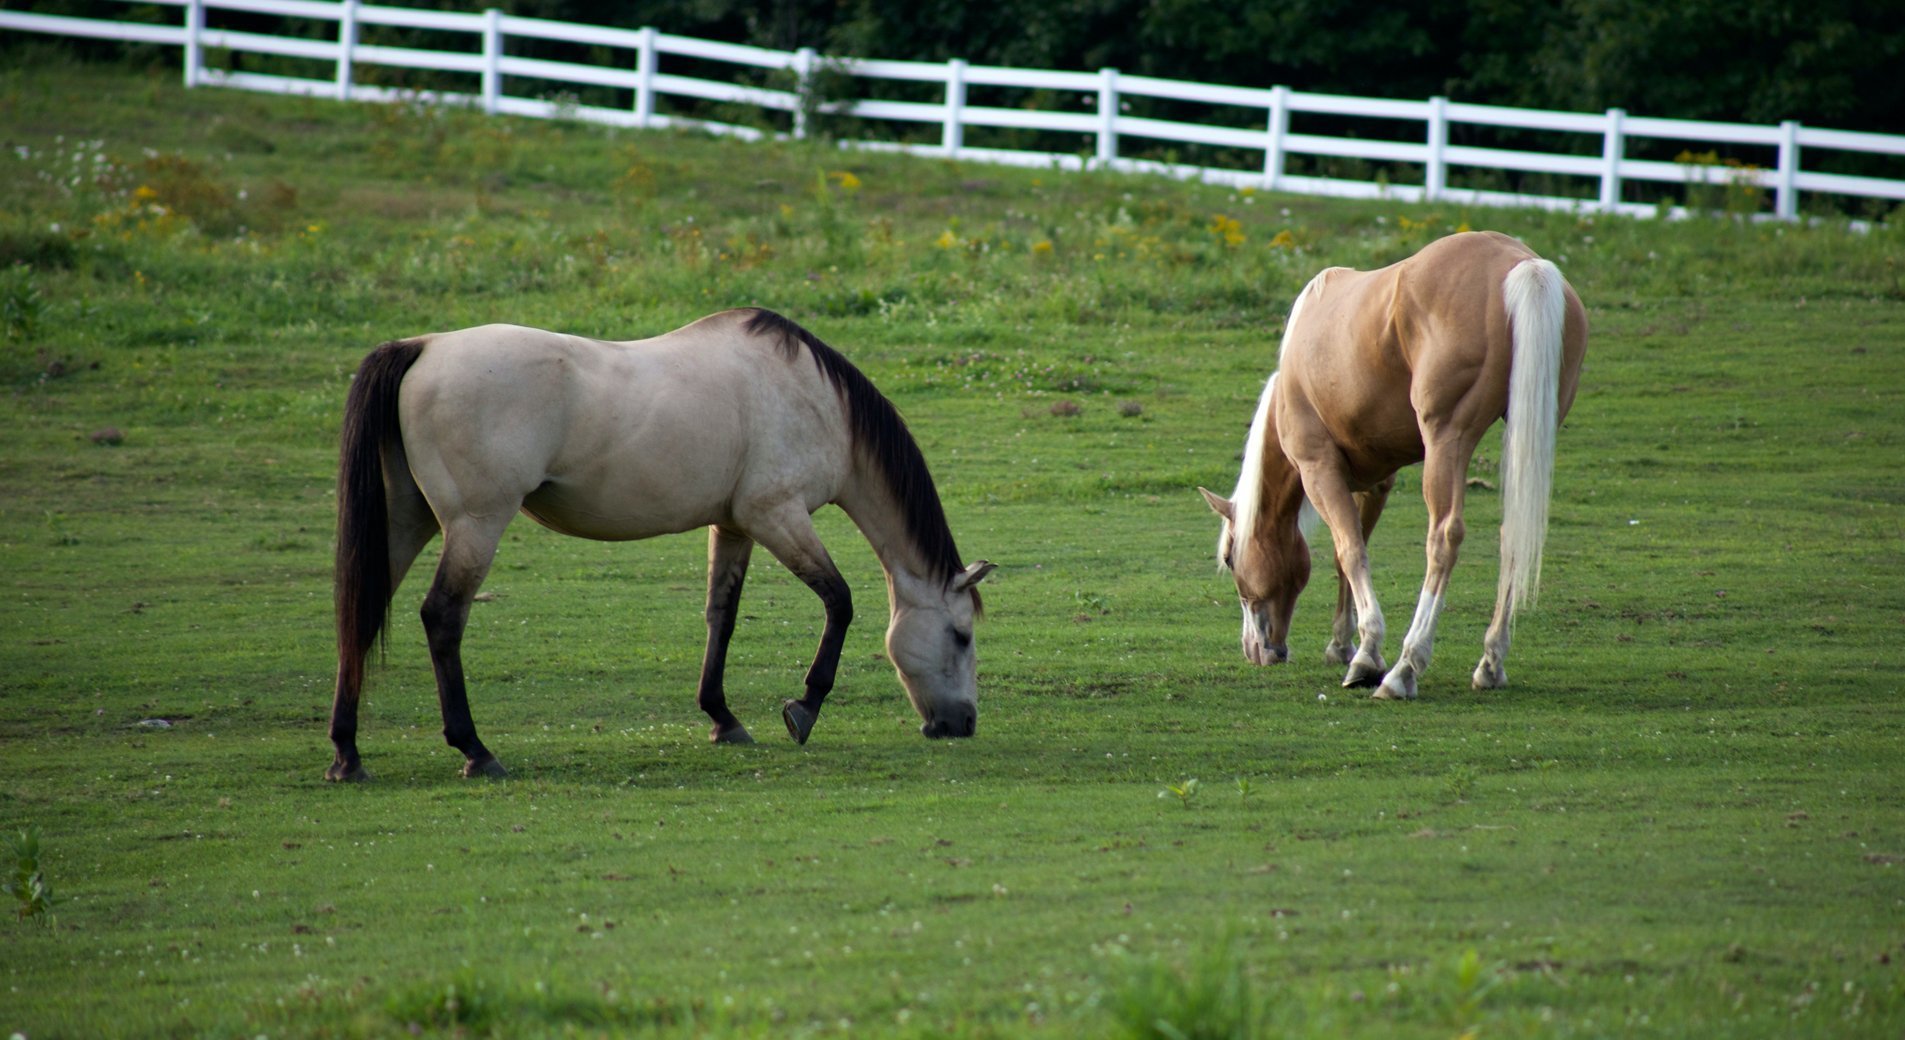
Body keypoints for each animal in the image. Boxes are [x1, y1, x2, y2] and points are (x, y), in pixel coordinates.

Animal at [329, 307, 994, 781]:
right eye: (961, 635)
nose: (962, 724)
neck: (817, 399)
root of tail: (423, 346)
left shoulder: (734, 526)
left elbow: (721, 616)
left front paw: (723, 719)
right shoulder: (777, 515)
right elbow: (840, 601)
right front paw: (803, 708)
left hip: (406, 521)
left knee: (359, 613)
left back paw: (347, 755)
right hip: (475, 524)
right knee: (442, 617)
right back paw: (474, 750)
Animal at [1199, 231, 1587, 700]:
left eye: (1230, 558)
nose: (1256, 650)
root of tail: (1521, 264)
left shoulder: (1319, 469)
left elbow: (1350, 552)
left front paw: (1367, 656)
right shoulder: (1375, 481)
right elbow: (1347, 554)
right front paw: (1341, 644)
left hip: (1447, 441)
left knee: (1443, 538)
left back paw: (1405, 668)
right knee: (1513, 534)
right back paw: (1490, 662)